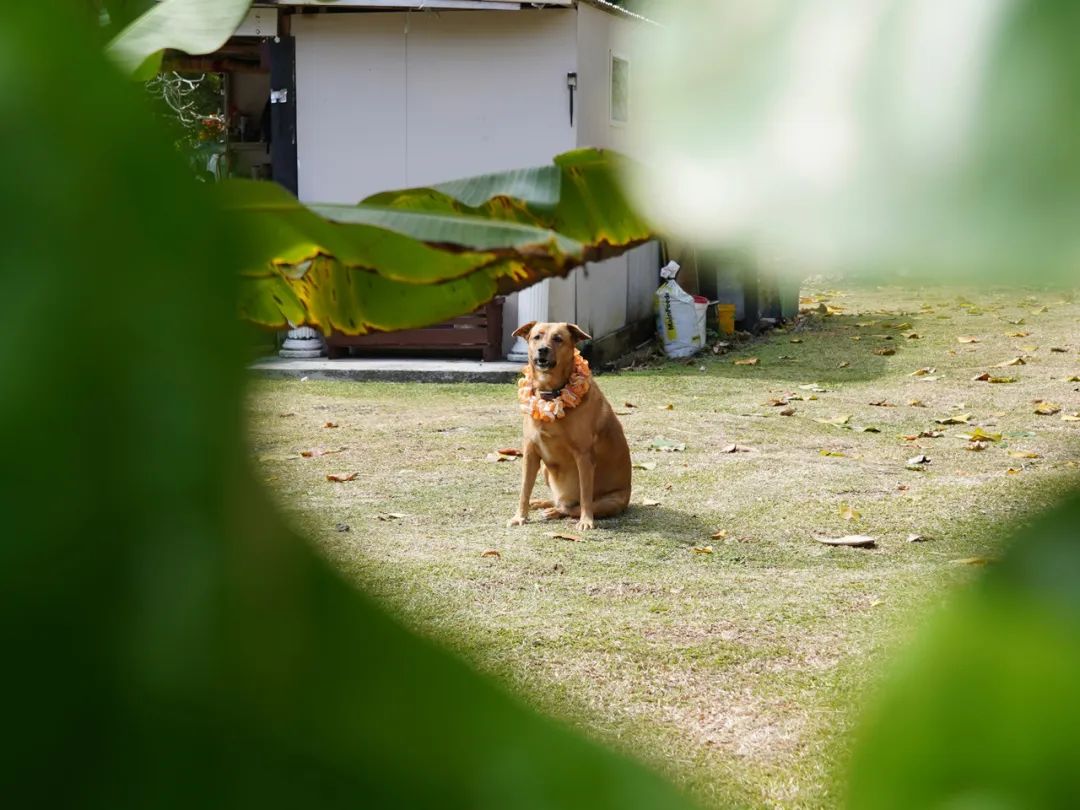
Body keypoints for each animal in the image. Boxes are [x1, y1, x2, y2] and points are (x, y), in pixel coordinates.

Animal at [507, 324, 630, 533]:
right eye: (536, 337)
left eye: (558, 339)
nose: (543, 350)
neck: (551, 395)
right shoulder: (530, 452)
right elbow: (524, 489)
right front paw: (520, 516)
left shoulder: (584, 457)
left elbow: (585, 494)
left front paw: (586, 521)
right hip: (545, 470)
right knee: (558, 501)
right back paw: (542, 503)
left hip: (610, 501)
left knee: (570, 508)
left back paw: (555, 511)